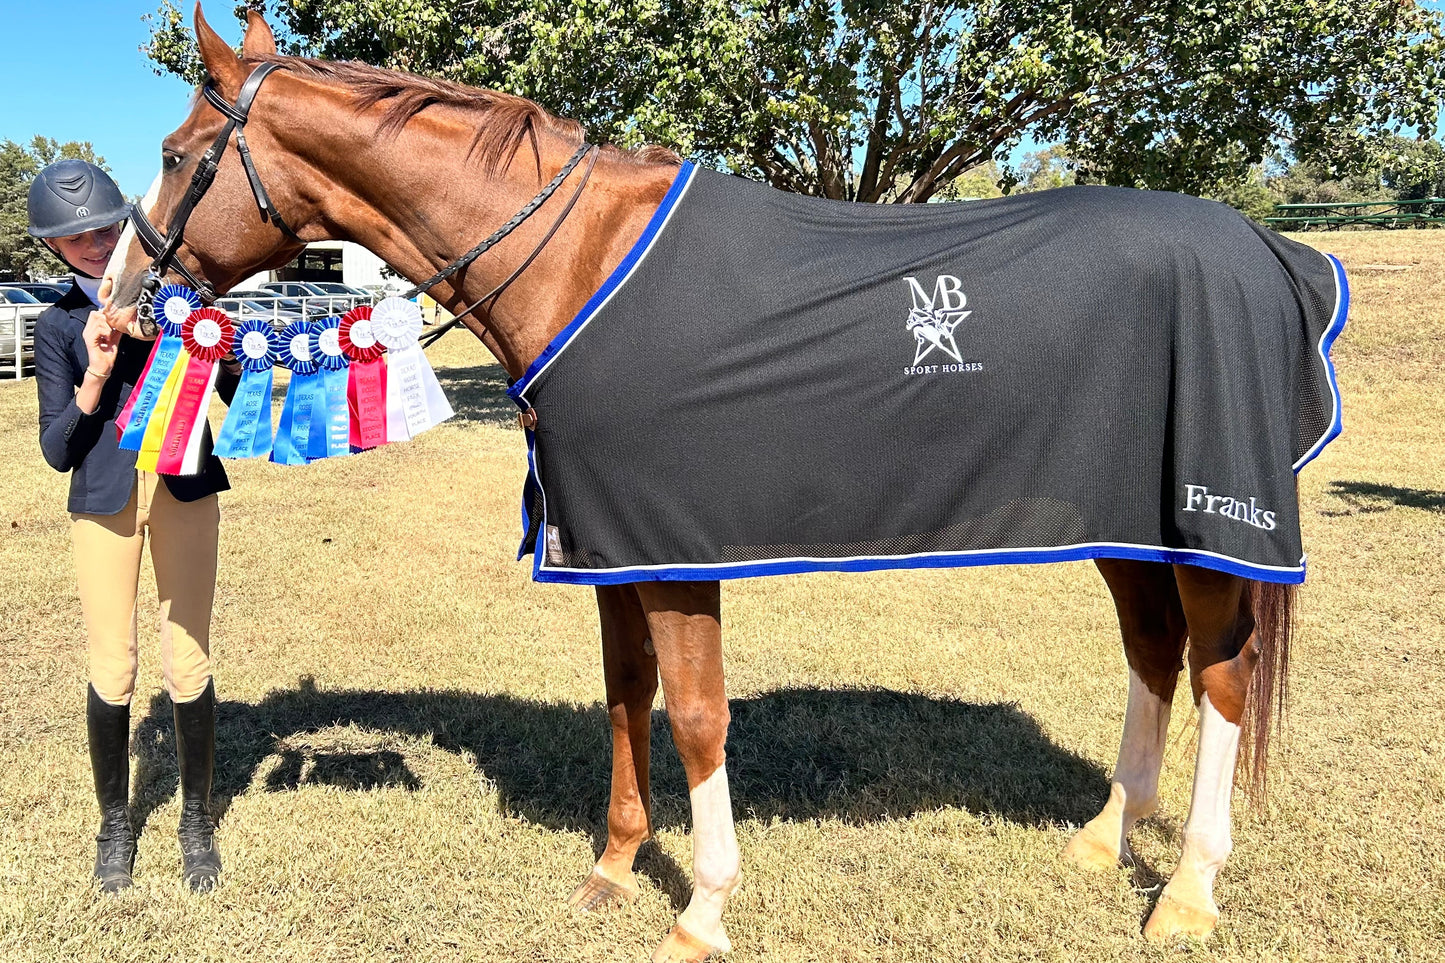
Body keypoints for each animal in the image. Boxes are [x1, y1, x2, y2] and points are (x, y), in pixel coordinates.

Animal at [103, 8, 1342, 959]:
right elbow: (627, 697)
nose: (114, 298)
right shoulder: (611, 545)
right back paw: (1099, 839)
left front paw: (700, 910)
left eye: (174, 154)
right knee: (1152, 654)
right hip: (1127, 525)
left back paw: (1186, 892)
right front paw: (611, 870)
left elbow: (697, 717)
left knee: (1221, 679)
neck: (579, 260)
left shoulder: (674, 548)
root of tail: (1263, 249)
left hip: (1207, 531)